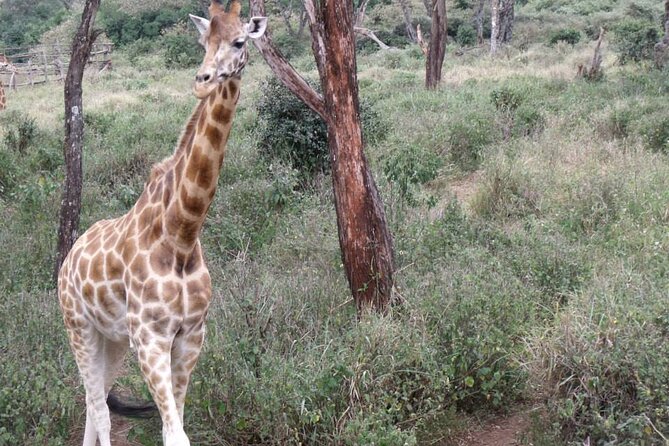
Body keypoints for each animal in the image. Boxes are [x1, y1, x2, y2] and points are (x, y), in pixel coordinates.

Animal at [57, 2, 267, 445]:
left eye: (240, 42)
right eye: (203, 42)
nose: (203, 81)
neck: (182, 233)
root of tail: (68, 259)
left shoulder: (190, 335)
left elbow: (178, 426)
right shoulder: (150, 338)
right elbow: (174, 433)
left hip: (113, 337)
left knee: (93, 403)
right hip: (78, 326)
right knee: (98, 407)